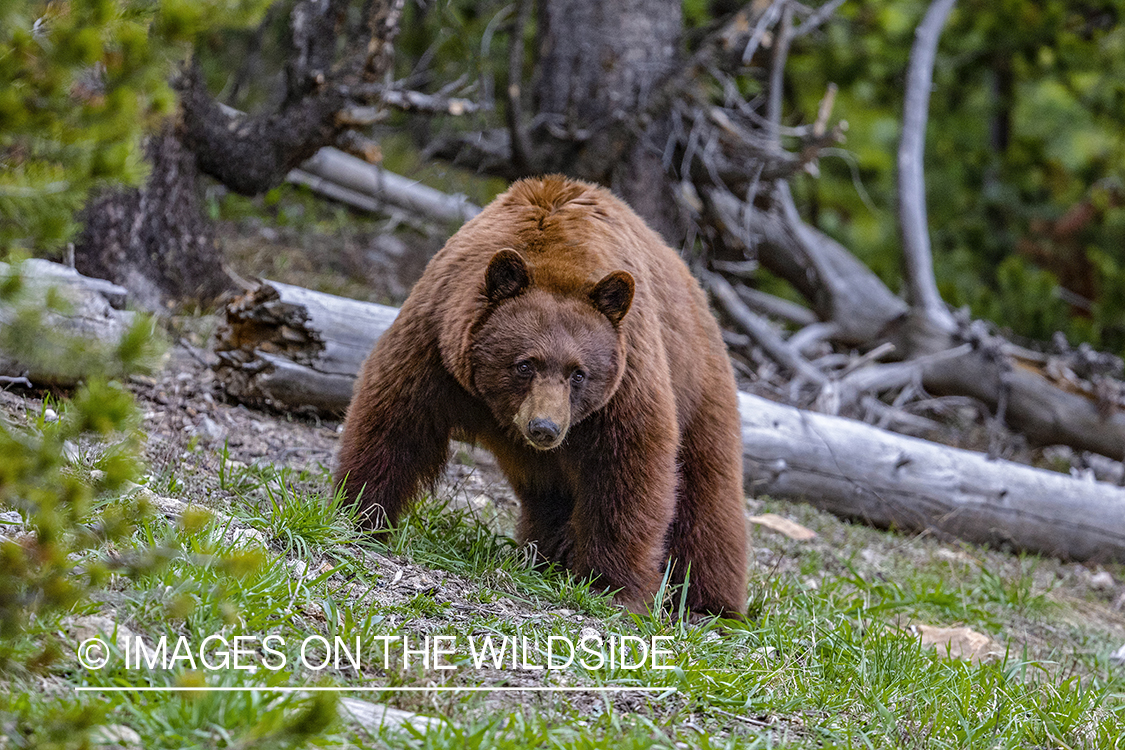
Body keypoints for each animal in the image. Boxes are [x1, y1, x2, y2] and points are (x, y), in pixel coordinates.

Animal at [337, 174, 751, 616]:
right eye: (524, 364)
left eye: (579, 374)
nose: (545, 428)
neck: (558, 258)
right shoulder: (438, 341)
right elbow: (396, 420)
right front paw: (361, 515)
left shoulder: (626, 376)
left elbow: (629, 469)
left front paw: (614, 587)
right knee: (549, 495)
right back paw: (546, 557)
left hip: (699, 387)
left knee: (708, 499)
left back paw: (709, 605)